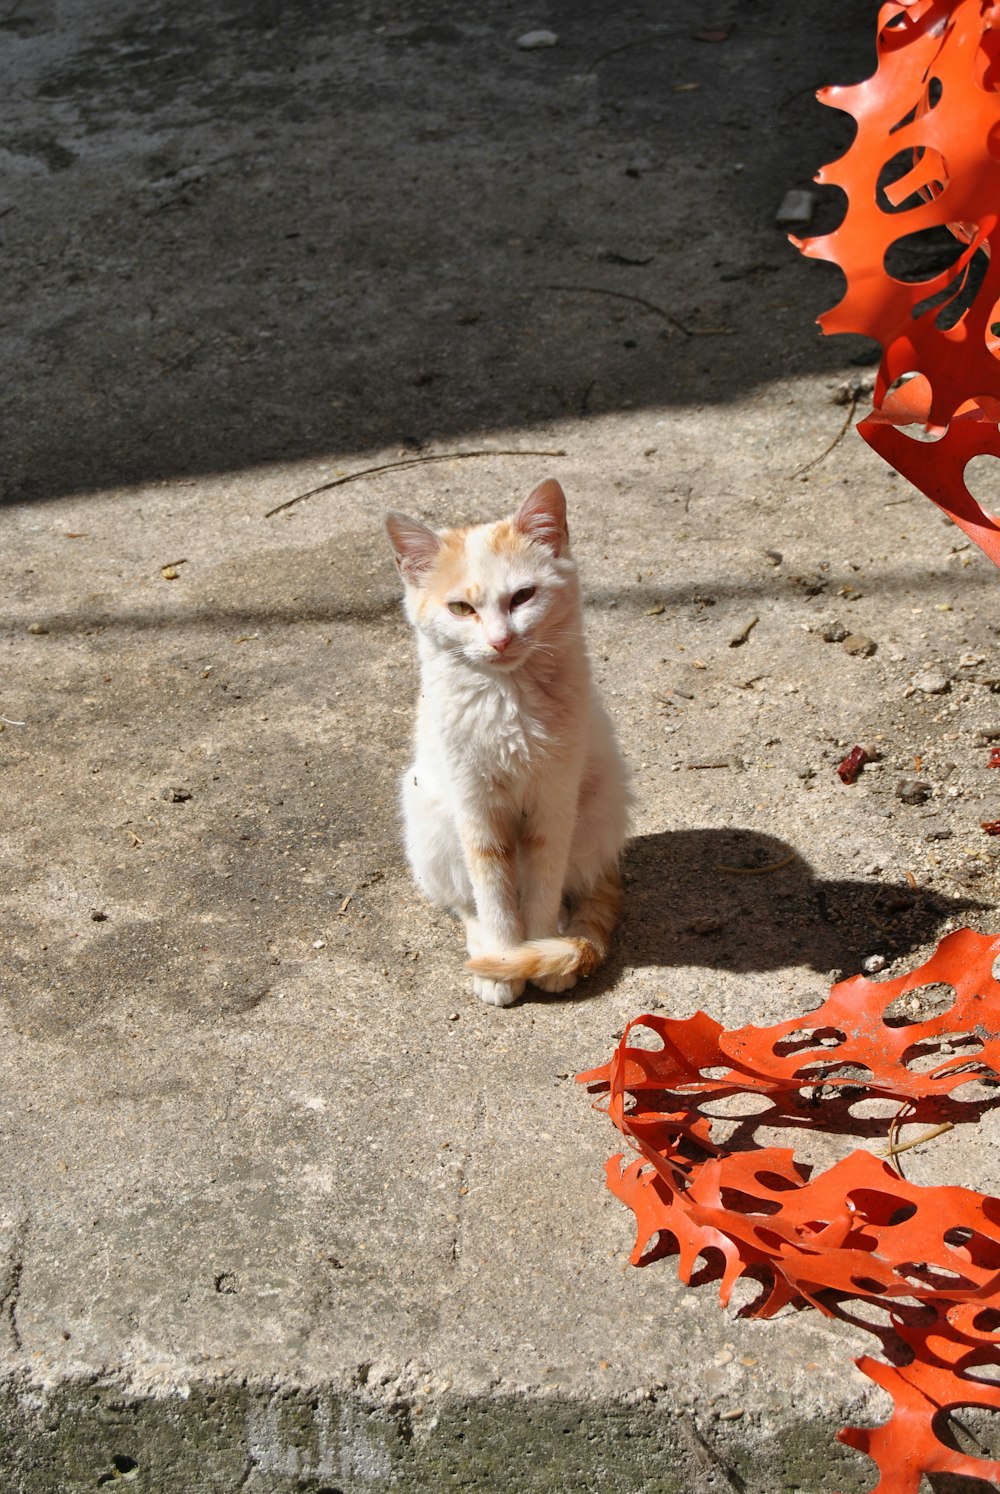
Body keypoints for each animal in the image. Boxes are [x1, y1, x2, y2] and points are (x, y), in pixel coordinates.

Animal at [385, 484, 627, 1009]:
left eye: (523, 596)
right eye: (461, 608)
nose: (500, 640)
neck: (508, 698)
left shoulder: (555, 802)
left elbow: (544, 884)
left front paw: (539, 952)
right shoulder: (475, 806)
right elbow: (492, 894)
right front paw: (503, 962)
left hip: (600, 805)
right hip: (429, 814)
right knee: (466, 900)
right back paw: (486, 950)